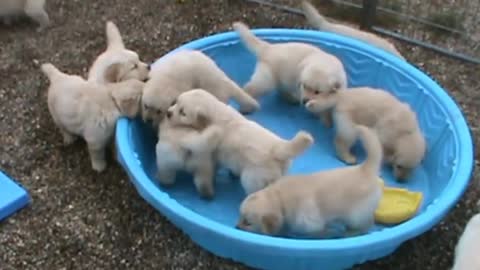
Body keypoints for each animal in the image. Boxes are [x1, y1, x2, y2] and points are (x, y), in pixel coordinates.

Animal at [167, 89, 314, 195]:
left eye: (183, 112)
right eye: (176, 102)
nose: (168, 113)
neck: (216, 112)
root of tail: (278, 148)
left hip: (251, 179)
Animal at [236, 124, 382, 236]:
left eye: (248, 223)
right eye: (240, 216)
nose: (236, 226)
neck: (279, 198)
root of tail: (365, 169)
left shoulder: (312, 225)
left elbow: (319, 232)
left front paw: (330, 232)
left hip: (356, 216)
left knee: (366, 225)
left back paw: (350, 232)